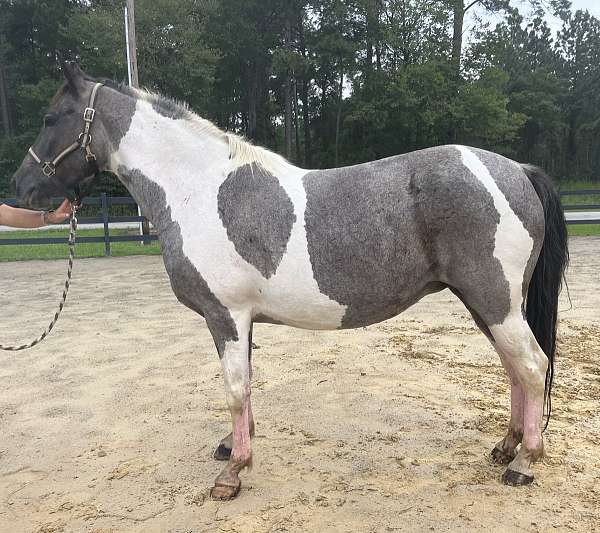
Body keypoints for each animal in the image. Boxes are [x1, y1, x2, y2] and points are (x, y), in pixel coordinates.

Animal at [11, 62, 568, 498]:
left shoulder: (226, 315)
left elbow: (235, 387)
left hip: (494, 301)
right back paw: (506, 446)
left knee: (531, 364)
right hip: (489, 305)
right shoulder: (239, 319)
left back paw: (524, 462)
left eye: (51, 118)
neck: (197, 187)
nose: (21, 187)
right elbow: (245, 384)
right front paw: (232, 445)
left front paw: (234, 472)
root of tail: (516, 170)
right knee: (516, 369)